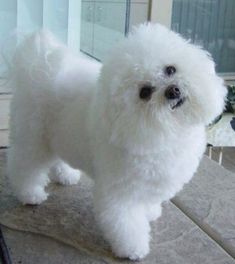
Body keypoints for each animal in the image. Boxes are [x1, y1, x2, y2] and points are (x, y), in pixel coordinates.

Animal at [7, 24, 226, 260]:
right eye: (145, 92)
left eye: (170, 70)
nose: (172, 90)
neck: (166, 133)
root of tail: (38, 65)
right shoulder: (120, 191)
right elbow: (125, 222)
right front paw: (133, 249)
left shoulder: (150, 181)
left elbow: (148, 201)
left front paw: (150, 211)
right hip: (33, 139)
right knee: (25, 167)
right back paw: (31, 194)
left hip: (59, 136)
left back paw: (66, 175)